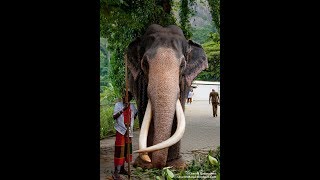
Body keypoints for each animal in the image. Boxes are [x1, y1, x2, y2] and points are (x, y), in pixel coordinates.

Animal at [125, 23, 208, 169]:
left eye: (182, 65)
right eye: (144, 63)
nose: (156, 164)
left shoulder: (185, 81)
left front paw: (177, 166)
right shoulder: (140, 81)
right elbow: (144, 108)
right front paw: (144, 165)